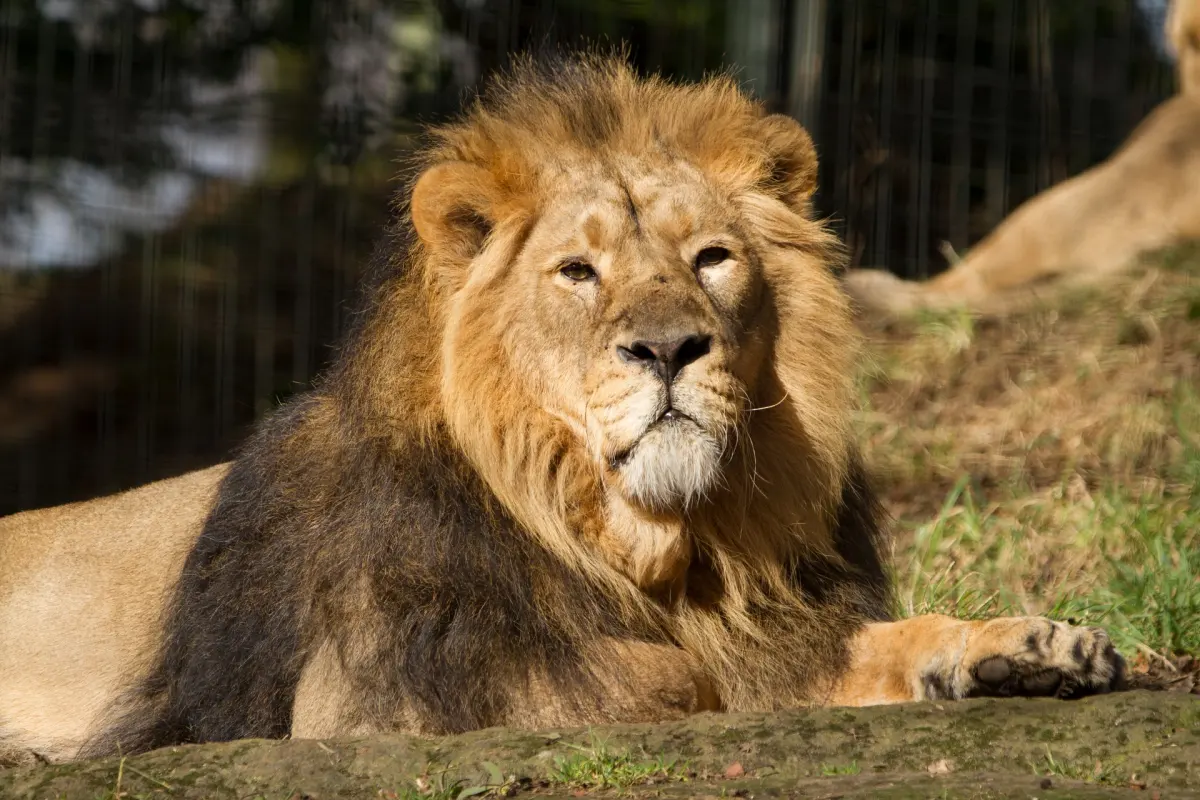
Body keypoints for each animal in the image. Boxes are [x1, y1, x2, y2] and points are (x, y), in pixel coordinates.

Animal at [0, 54, 1123, 767]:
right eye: (578, 272)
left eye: (711, 258)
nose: (667, 347)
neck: (655, 549)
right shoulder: (364, 702)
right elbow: (664, 679)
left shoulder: (779, 623)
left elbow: (873, 643)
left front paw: (1028, 647)